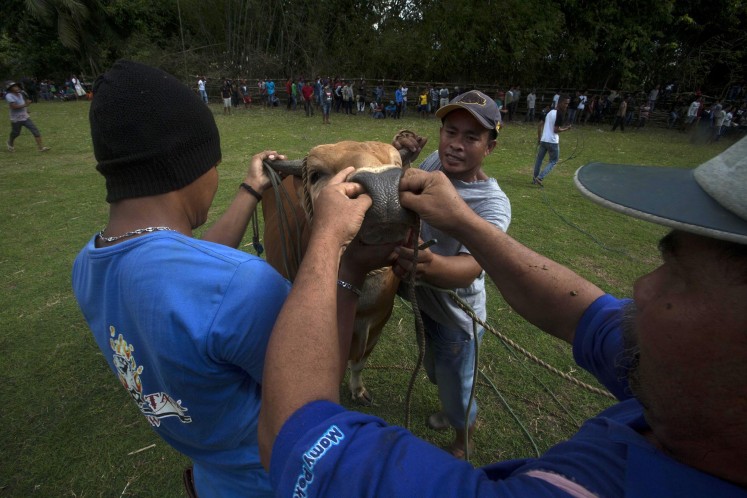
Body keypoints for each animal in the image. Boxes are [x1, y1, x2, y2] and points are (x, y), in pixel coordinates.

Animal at [261, 140, 417, 405]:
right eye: (315, 175)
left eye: (397, 163)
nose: (384, 185)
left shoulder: (378, 324)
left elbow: (359, 363)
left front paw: (358, 389)